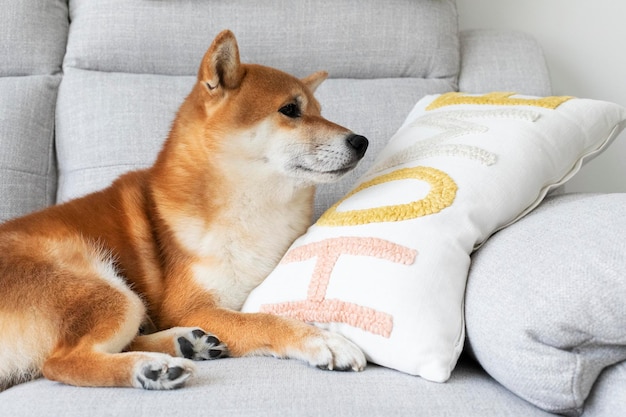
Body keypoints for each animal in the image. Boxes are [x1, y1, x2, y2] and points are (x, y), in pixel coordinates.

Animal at [0, 30, 368, 390]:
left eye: (319, 110)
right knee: (59, 363)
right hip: (109, 290)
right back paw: (151, 368)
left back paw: (186, 344)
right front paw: (322, 340)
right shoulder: (189, 307)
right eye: (290, 109)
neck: (255, 211)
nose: (361, 141)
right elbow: (265, 320)